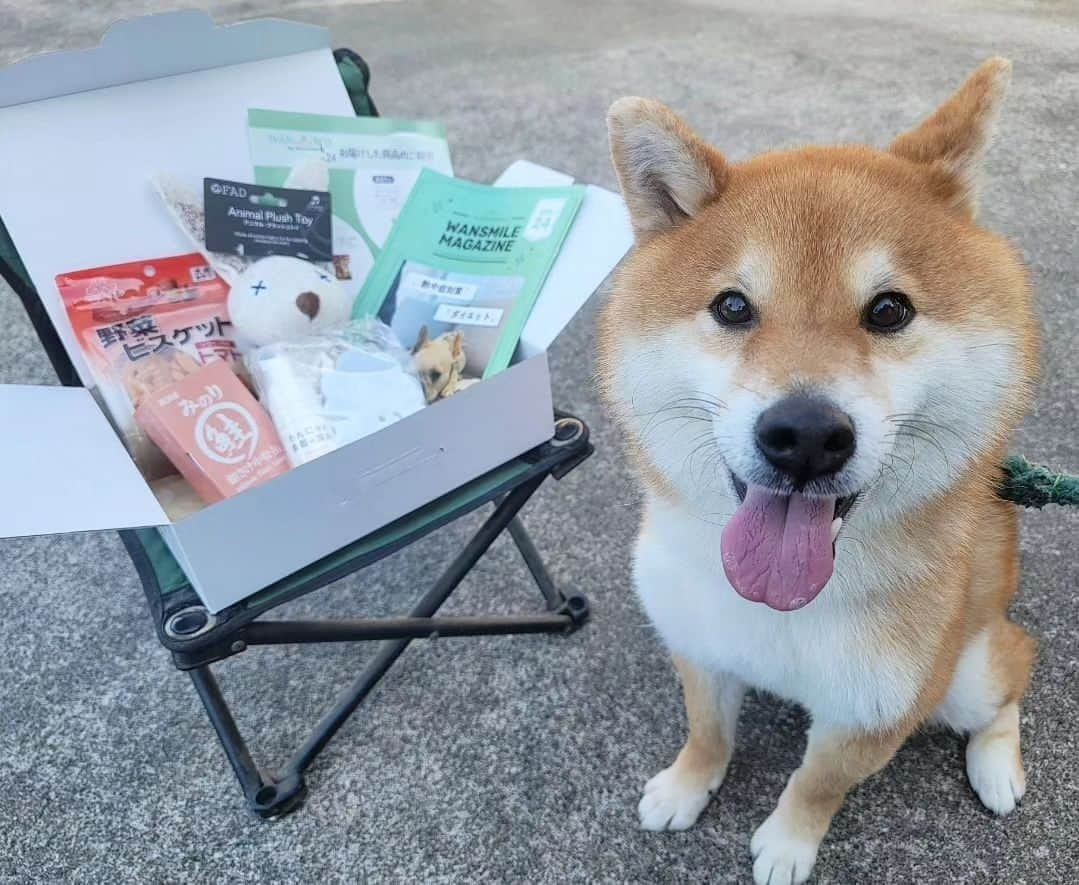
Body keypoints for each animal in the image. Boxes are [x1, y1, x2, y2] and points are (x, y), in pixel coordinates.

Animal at [599, 58, 1035, 880]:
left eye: (889, 310)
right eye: (732, 307)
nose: (804, 435)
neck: (782, 609)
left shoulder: (877, 708)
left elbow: (816, 783)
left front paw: (786, 844)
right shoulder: (698, 647)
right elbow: (707, 731)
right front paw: (685, 786)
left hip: (966, 673)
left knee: (1012, 678)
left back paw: (997, 765)